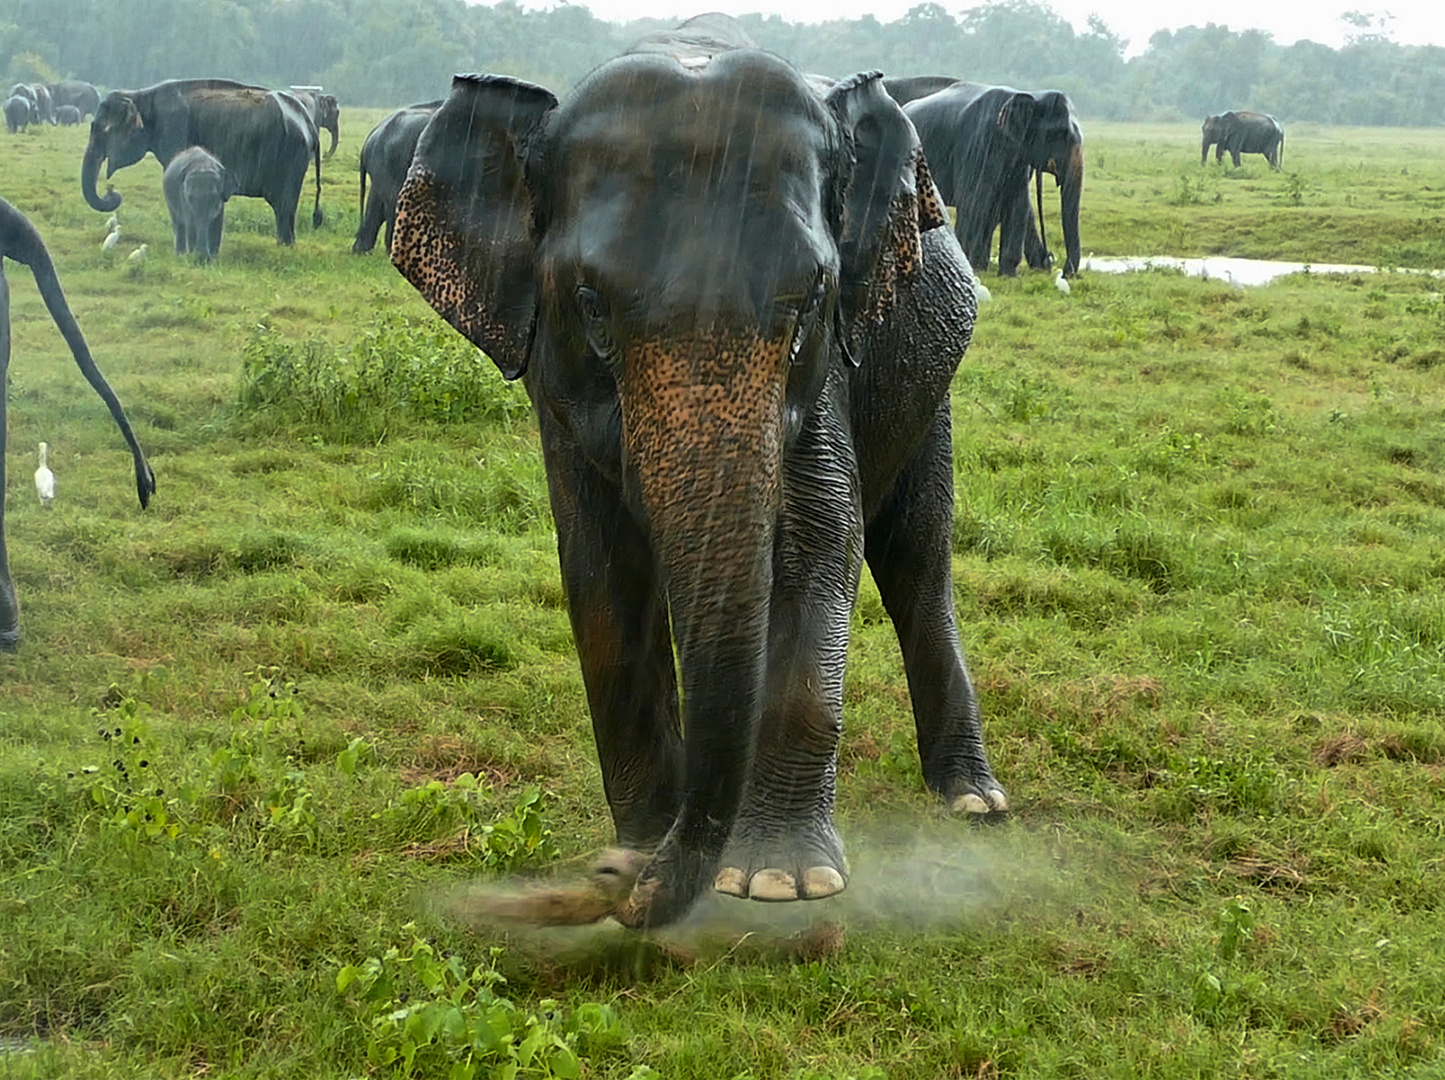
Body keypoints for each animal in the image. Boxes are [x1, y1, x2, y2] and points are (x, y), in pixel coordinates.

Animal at [83, 78, 326, 244]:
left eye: (102, 130)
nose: (112, 191)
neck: (140, 94)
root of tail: (310, 125)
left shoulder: (174, 131)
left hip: (290, 158)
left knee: (284, 207)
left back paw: (284, 246)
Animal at [390, 12, 1011, 931]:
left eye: (809, 300)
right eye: (589, 306)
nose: (616, 895)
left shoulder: (830, 368)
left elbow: (819, 539)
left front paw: (779, 882)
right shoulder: (552, 384)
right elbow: (599, 571)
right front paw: (642, 849)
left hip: (924, 383)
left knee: (915, 556)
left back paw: (971, 802)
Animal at [901, 82, 1086, 280]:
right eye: (1061, 134)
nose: (1065, 273)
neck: (1031, 95)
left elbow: (1018, 205)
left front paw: (1008, 276)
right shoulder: (980, 144)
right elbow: (976, 202)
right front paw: (975, 269)